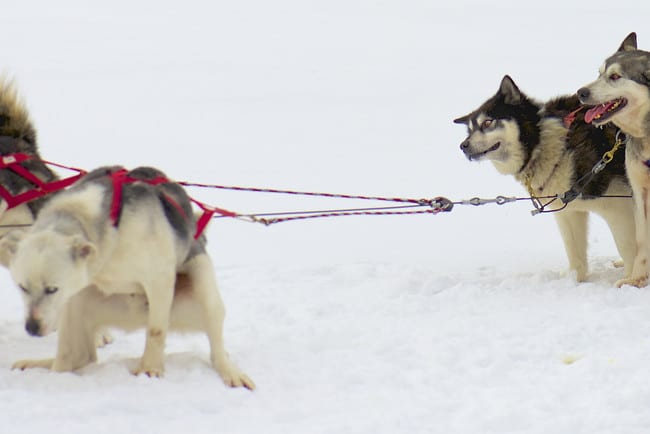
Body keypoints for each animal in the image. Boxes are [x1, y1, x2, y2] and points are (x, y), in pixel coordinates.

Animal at [1, 166, 254, 390]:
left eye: (52, 289)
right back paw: (45, 366)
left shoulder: (159, 280)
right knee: (76, 357)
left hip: (204, 288)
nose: (32, 328)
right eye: (22, 287)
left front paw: (150, 368)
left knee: (216, 351)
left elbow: (156, 331)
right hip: (76, 303)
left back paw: (230, 371)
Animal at [450, 75, 632, 282]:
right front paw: (574, 279)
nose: (463, 146)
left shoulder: (620, 206)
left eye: (488, 123)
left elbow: (628, 247)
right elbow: (574, 251)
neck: (545, 145)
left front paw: (632, 280)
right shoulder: (568, 212)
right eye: (469, 131)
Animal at [576, 31, 650, 288]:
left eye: (615, 76)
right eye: (599, 73)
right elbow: (642, 239)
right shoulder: (639, 191)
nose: (581, 92)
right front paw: (637, 279)